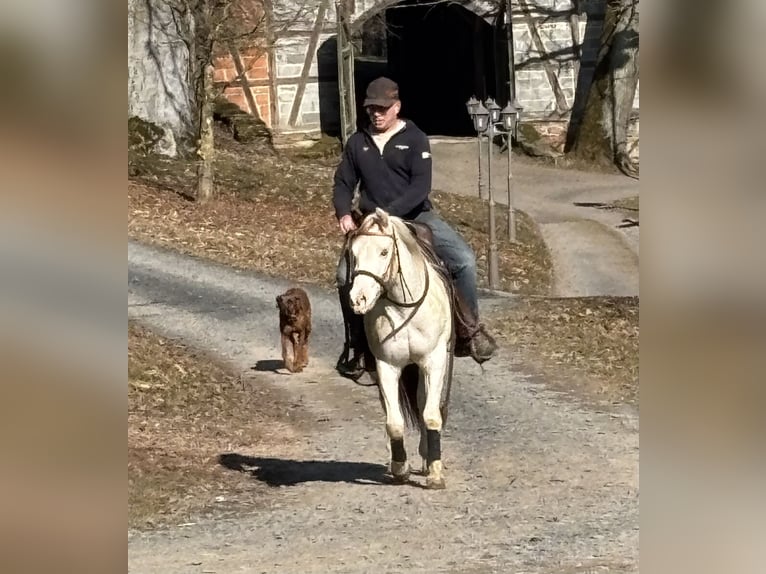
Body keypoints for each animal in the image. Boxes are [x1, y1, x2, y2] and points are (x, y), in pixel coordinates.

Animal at [346, 207, 454, 489]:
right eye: (353, 253)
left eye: (384, 252)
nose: (359, 299)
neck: (403, 307)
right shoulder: (386, 365)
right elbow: (394, 421)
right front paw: (399, 467)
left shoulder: (434, 361)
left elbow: (431, 414)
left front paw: (435, 473)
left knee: (424, 401)